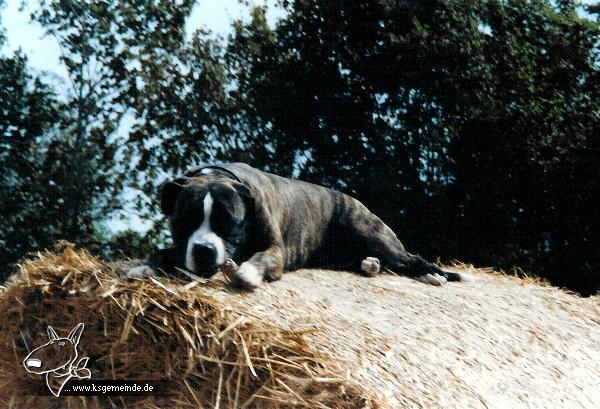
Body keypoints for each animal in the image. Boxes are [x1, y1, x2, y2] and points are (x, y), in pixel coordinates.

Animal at [127, 161, 464, 288]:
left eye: (230, 223)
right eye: (185, 220)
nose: (204, 250)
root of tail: (355, 201)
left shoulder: (276, 250)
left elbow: (260, 257)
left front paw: (248, 272)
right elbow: (162, 251)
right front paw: (145, 266)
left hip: (374, 235)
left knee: (411, 259)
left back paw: (434, 275)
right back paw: (370, 265)